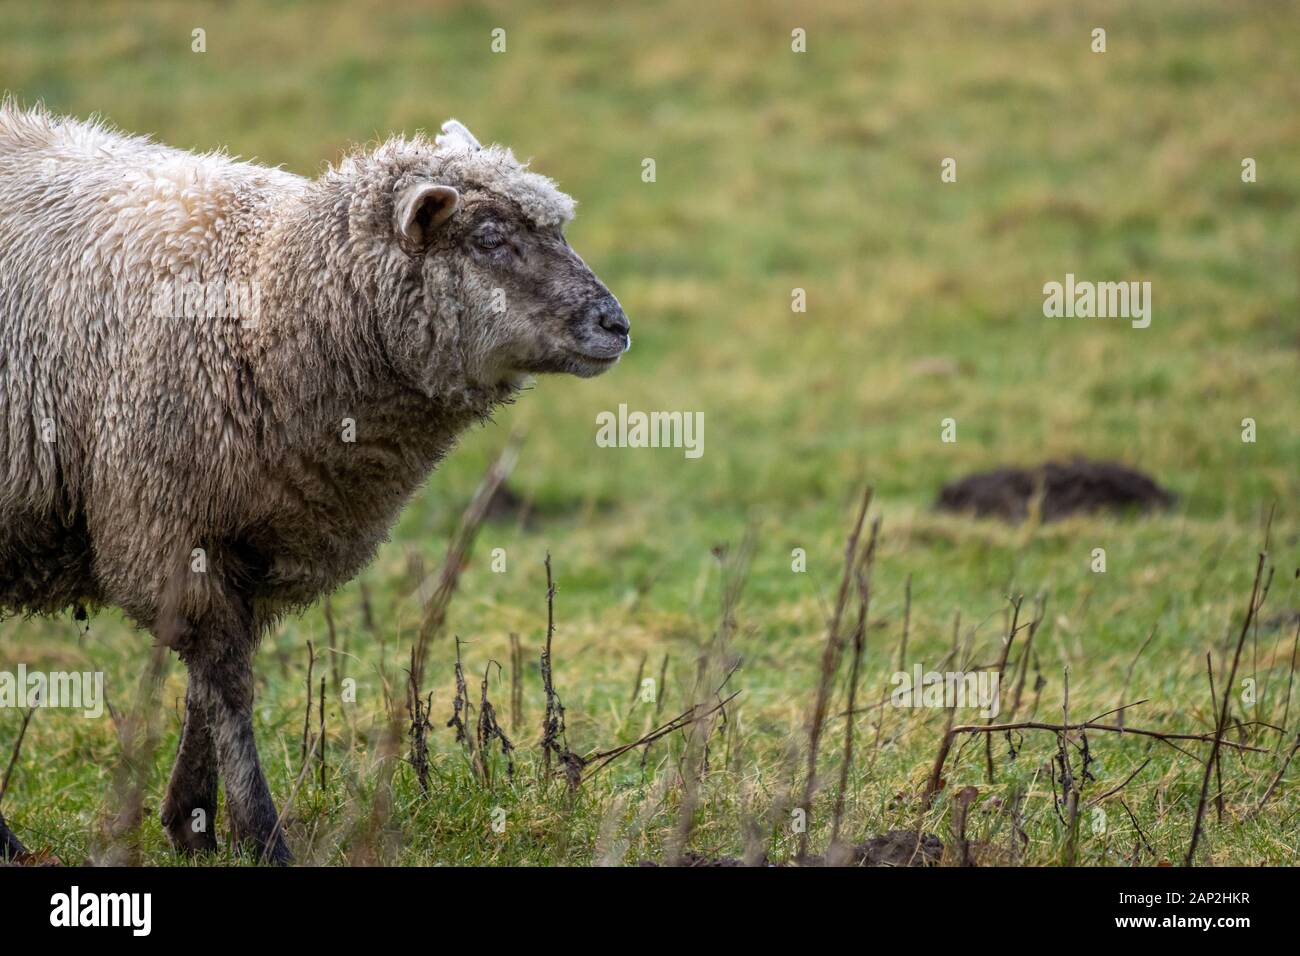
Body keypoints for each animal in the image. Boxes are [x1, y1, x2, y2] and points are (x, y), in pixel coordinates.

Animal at [0, 101, 629, 862]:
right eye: (489, 239)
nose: (617, 325)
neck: (267, 297)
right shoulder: (168, 524)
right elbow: (226, 684)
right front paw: (259, 833)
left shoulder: (254, 535)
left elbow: (209, 685)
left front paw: (192, 822)